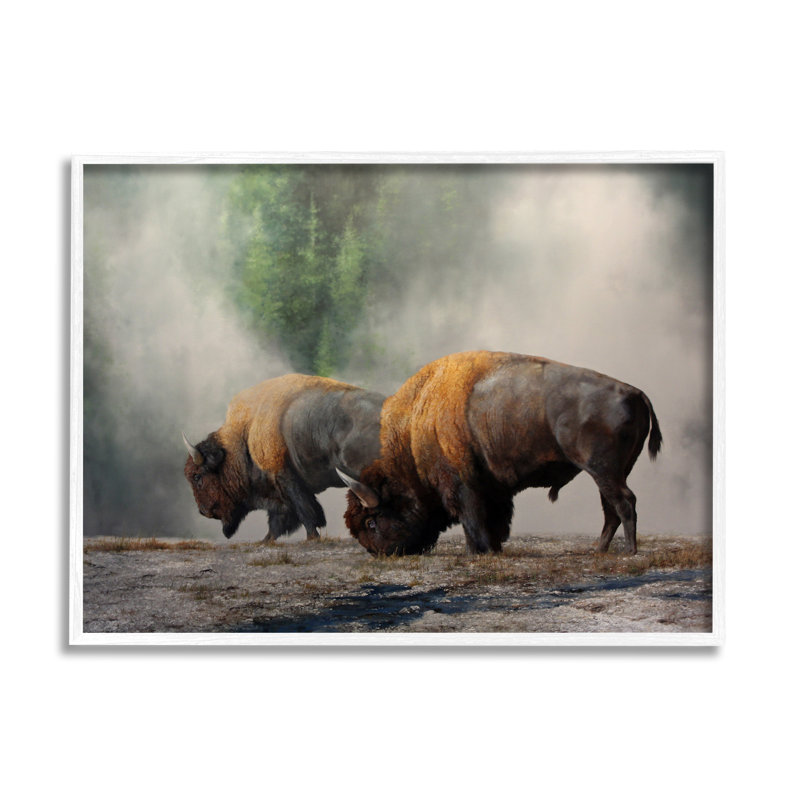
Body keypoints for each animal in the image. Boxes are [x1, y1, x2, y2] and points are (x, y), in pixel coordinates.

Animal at [183, 374, 384, 541]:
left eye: (197, 476)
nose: (203, 511)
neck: (244, 436)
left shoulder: (287, 480)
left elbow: (306, 512)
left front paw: (312, 537)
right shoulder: (280, 494)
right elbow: (279, 521)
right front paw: (265, 540)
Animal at [339, 351, 661, 556]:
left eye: (371, 521)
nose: (376, 552)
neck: (416, 426)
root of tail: (634, 392)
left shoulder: (461, 485)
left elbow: (472, 519)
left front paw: (476, 552)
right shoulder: (491, 487)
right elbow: (494, 519)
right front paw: (493, 548)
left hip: (603, 469)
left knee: (624, 502)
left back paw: (629, 551)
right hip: (611, 471)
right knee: (611, 507)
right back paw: (599, 550)